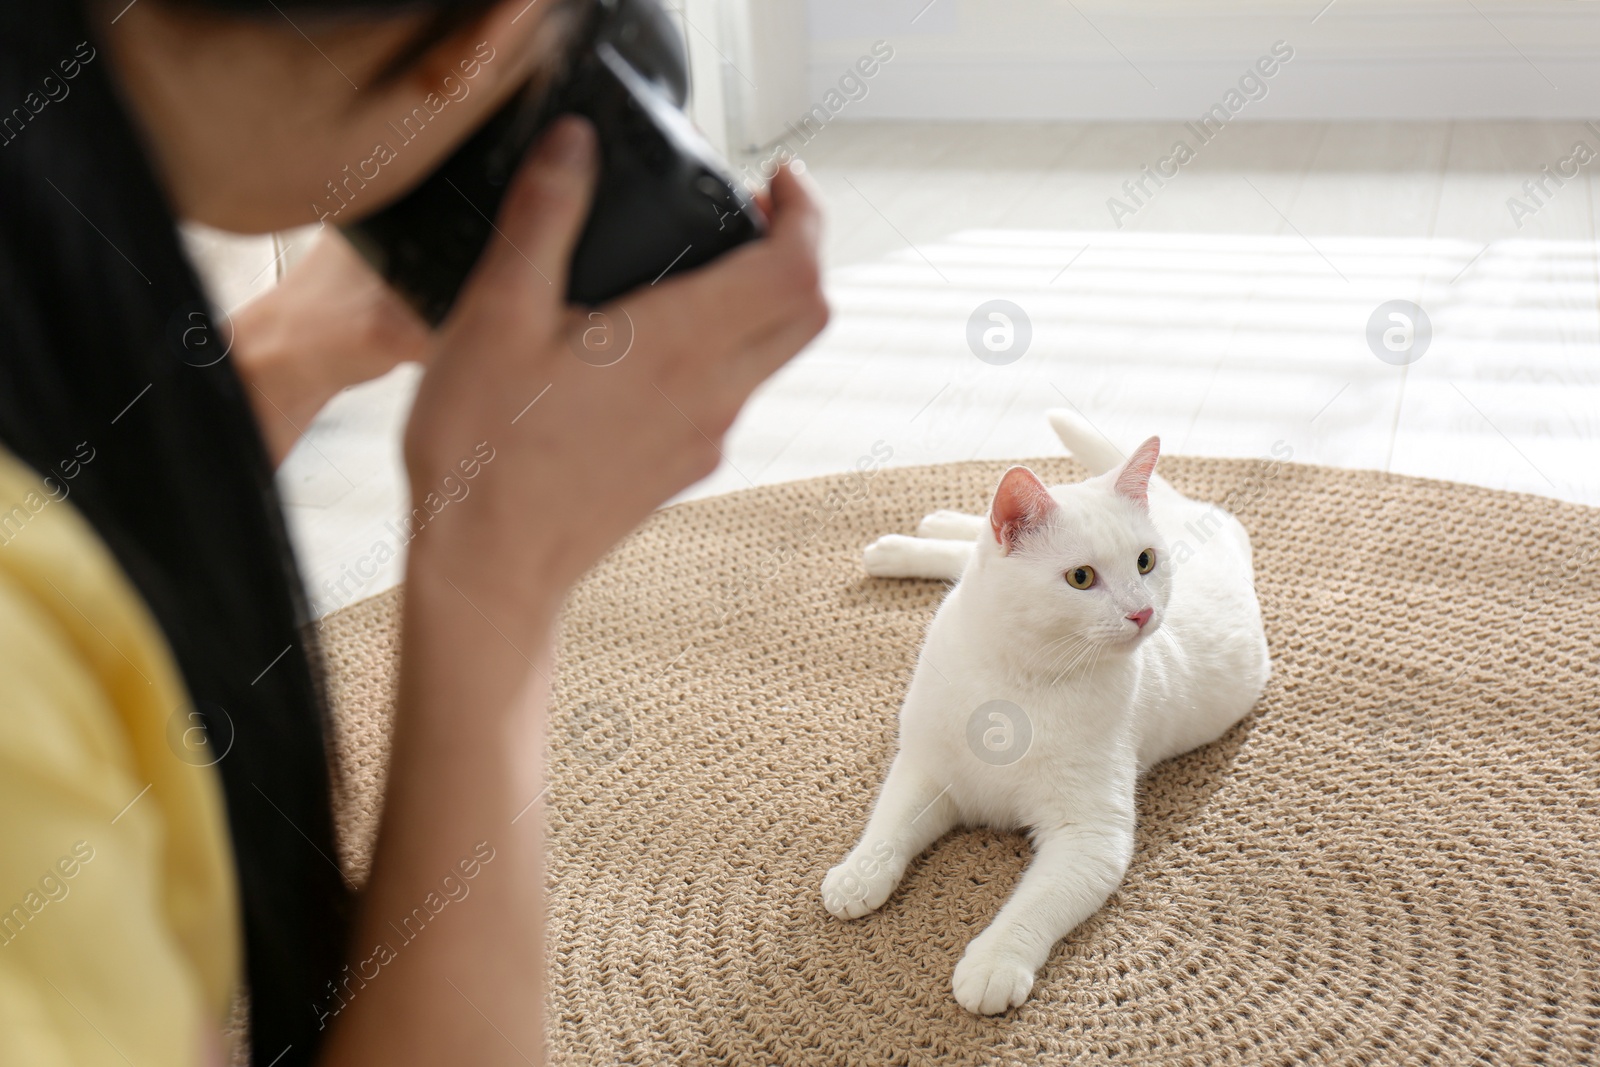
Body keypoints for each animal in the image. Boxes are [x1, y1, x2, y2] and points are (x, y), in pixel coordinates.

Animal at [825, 409, 1260, 1017]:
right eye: (1081, 578)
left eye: (1145, 562)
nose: (1142, 611)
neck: (1020, 680)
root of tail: (1186, 507)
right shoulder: (926, 769)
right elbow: (887, 827)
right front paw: (857, 875)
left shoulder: (1089, 837)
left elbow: (1031, 909)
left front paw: (993, 965)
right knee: (970, 548)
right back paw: (910, 539)